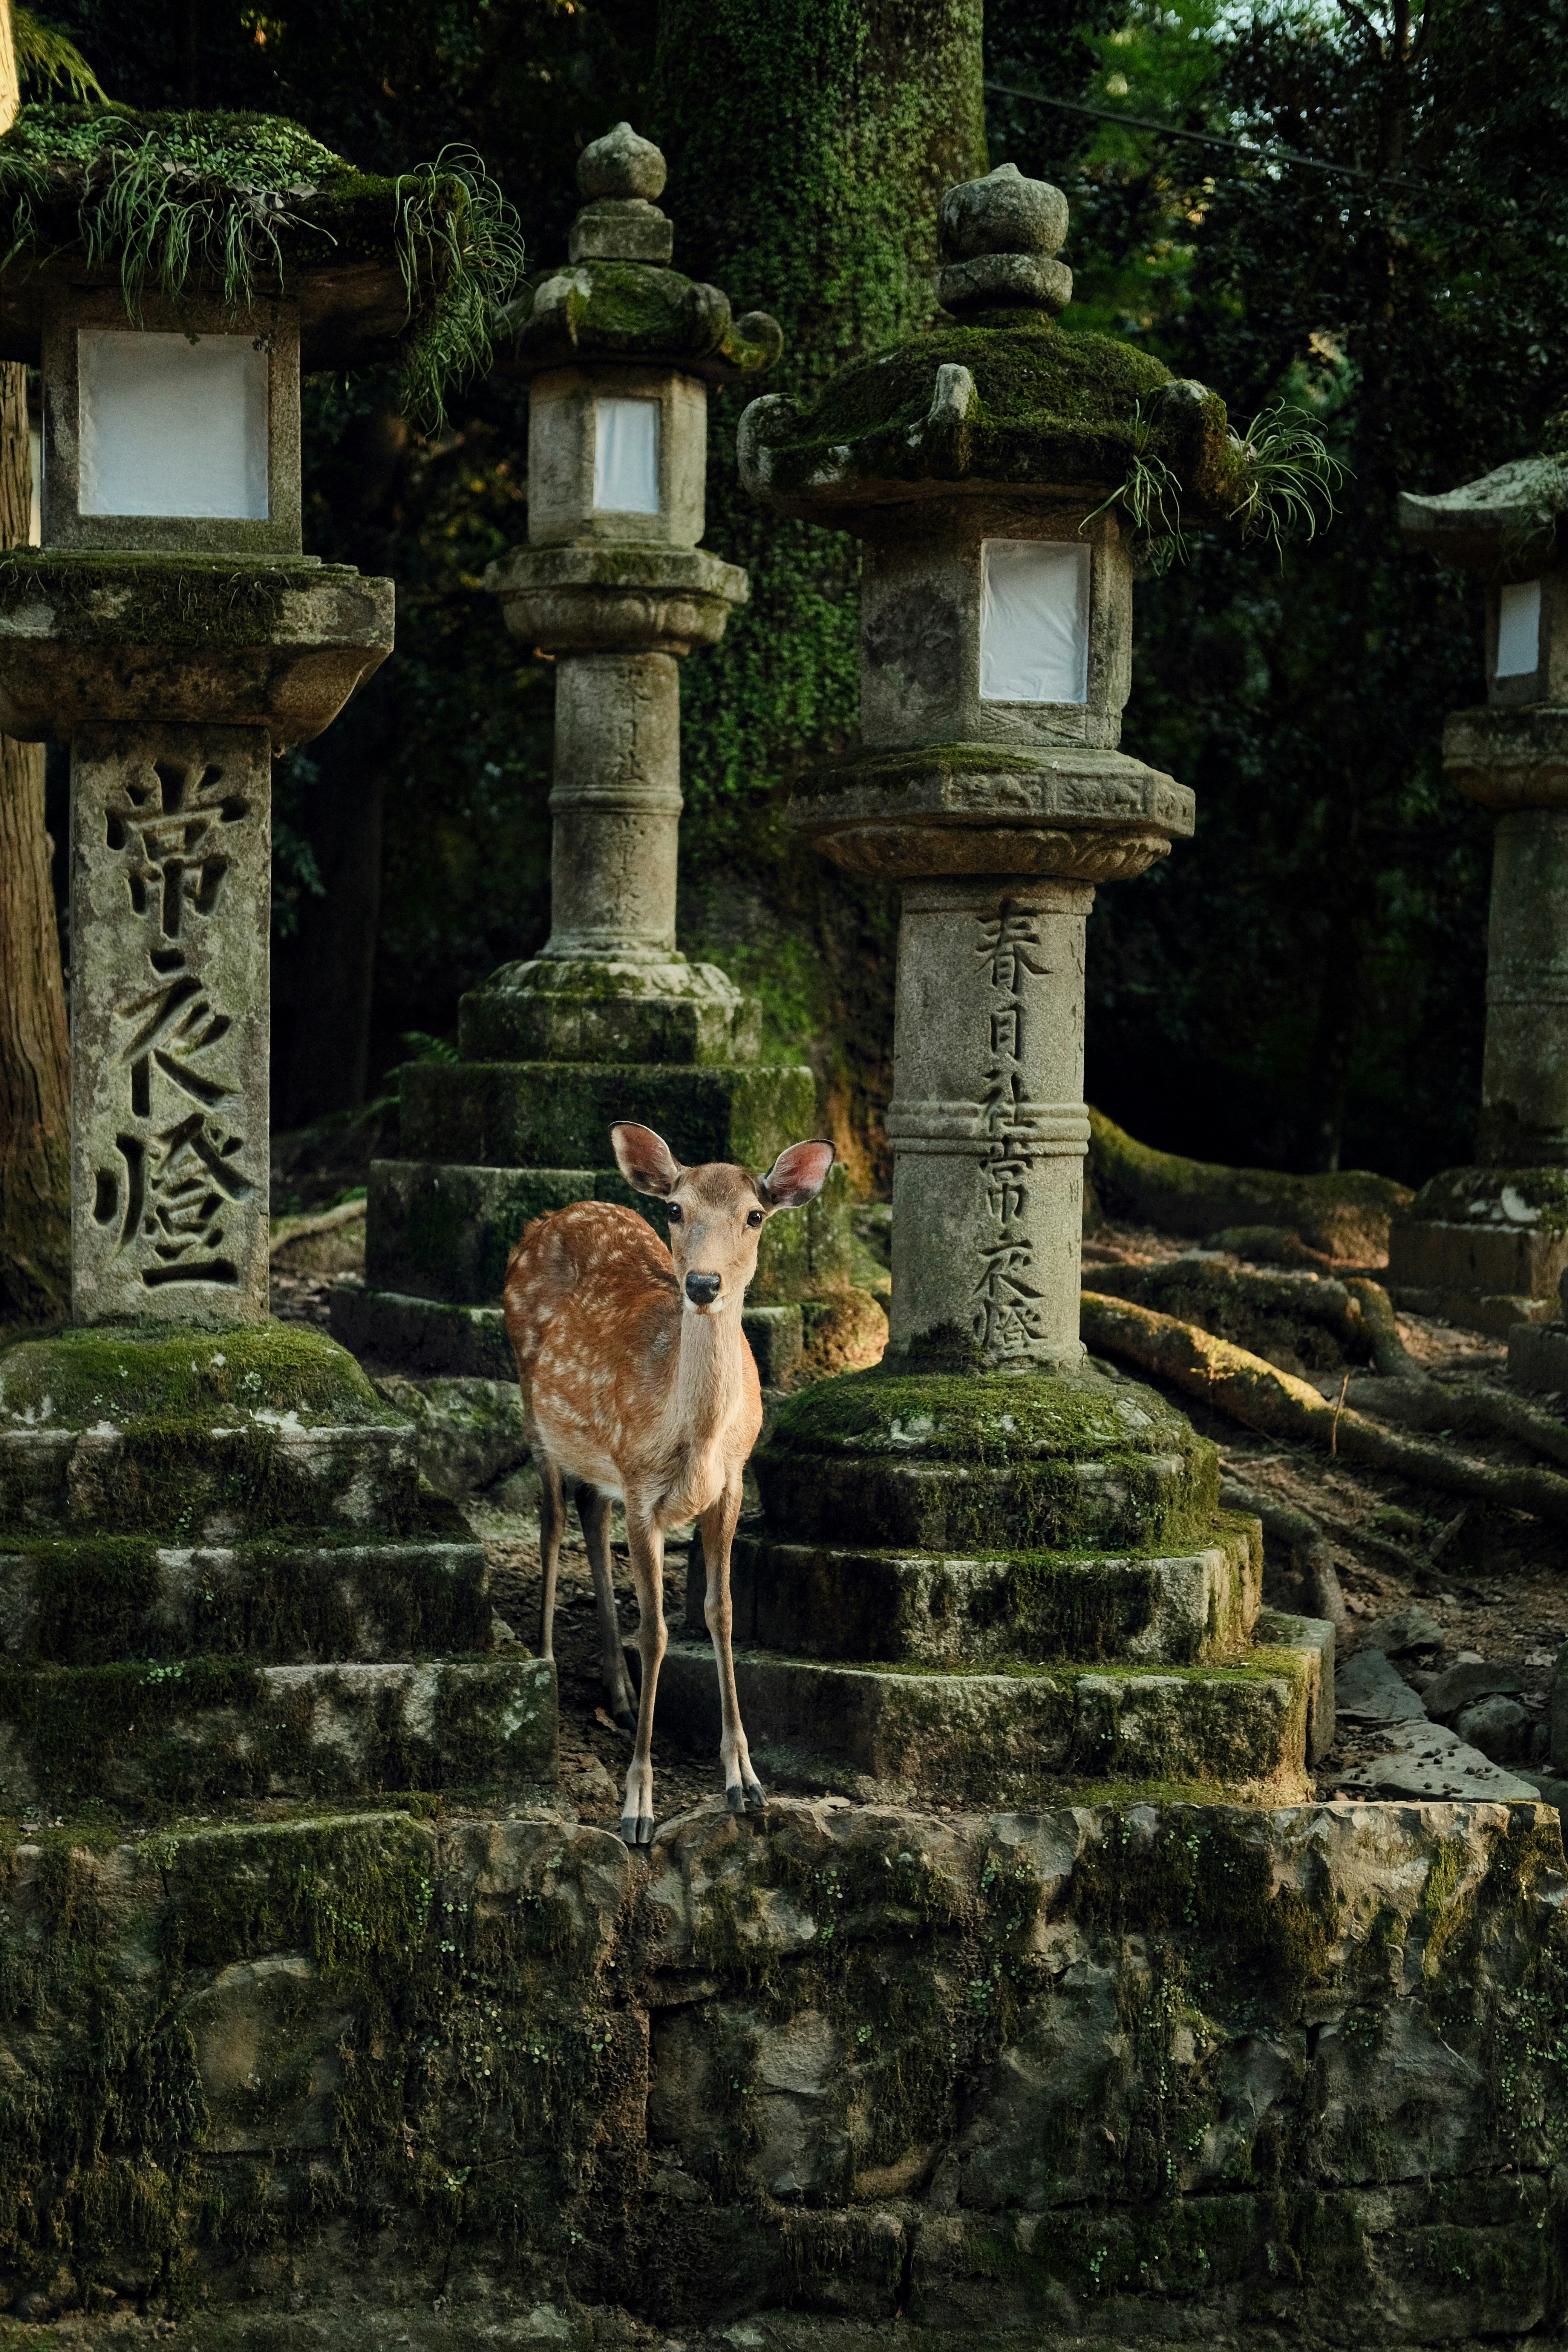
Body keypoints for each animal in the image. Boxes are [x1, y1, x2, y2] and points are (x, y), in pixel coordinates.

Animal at [501, 1121, 836, 1846]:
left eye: (756, 1215)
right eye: (678, 1210)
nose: (704, 1283)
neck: (698, 1438)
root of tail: (552, 1216)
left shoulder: (732, 1484)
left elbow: (723, 1612)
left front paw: (746, 1782)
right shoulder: (643, 1490)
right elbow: (654, 1632)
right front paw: (638, 1806)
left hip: (597, 1455)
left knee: (589, 1512)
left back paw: (621, 1695)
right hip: (533, 1409)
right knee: (553, 1522)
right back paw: (544, 1664)